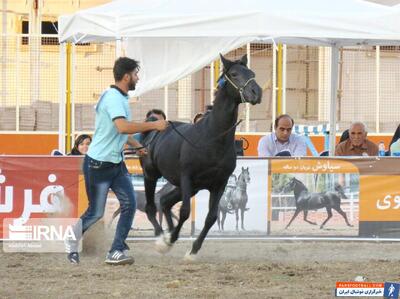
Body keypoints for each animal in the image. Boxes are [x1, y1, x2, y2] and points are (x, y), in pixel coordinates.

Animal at [140, 54, 262, 260]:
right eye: (234, 74)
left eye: (252, 73)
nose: (257, 92)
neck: (211, 137)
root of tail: (152, 128)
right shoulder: (187, 177)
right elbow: (185, 212)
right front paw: (169, 241)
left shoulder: (218, 184)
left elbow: (211, 217)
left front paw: (192, 250)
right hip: (152, 175)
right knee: (151, 207)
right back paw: (162, 239)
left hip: (189, 187)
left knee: (165, 202)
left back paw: (168, 236)